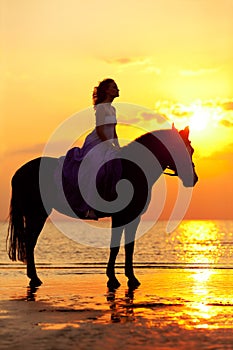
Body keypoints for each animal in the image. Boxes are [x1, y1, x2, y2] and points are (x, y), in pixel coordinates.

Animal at [6, 126, 198, 290]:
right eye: (183, 149)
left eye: (192, 151)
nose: (194, 178)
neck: (133, 169)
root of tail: (19, 172)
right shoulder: (122, 216)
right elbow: (117, 247)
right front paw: (115, 279)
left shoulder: (132, 217)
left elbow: (128, 247)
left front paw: (128, 278)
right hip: (37, 214)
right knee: (30, 242)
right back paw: (34, 278)